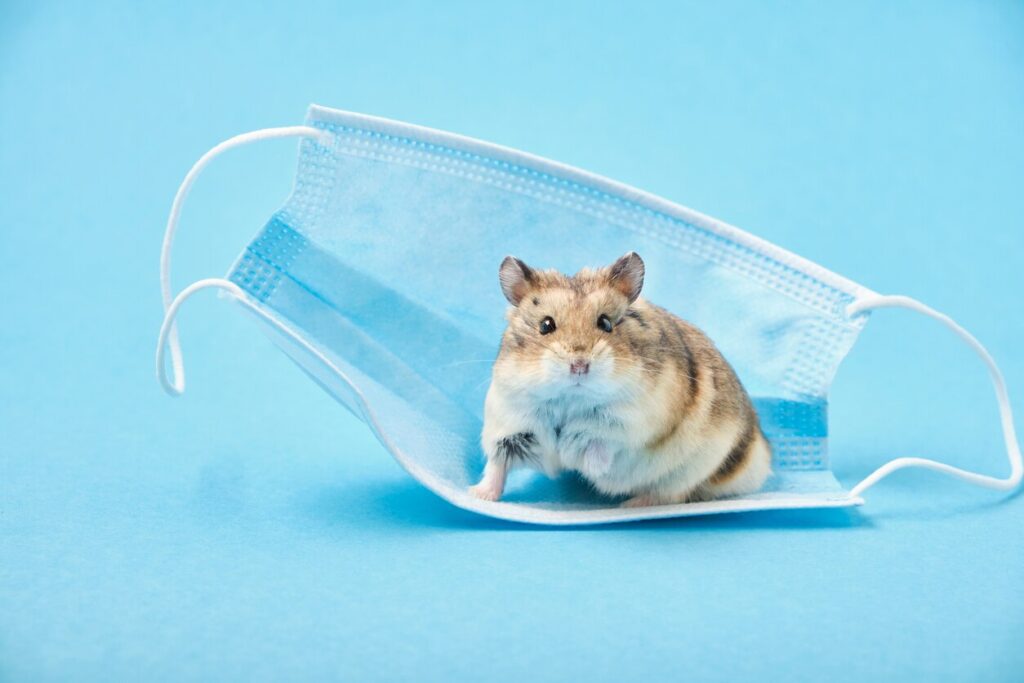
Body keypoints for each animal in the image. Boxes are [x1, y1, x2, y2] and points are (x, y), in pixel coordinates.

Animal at [469, 252, 771, 507]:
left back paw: (631, 504)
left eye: (605, 323)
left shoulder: (632, 420)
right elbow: (497, 466)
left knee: (668, 495)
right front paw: (478, 495)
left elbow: (600, 440)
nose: (579, 365)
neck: (571, 399)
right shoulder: (509, 425)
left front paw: (588, 466)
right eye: (546, 325)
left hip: (689, 472)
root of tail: (762, 455)